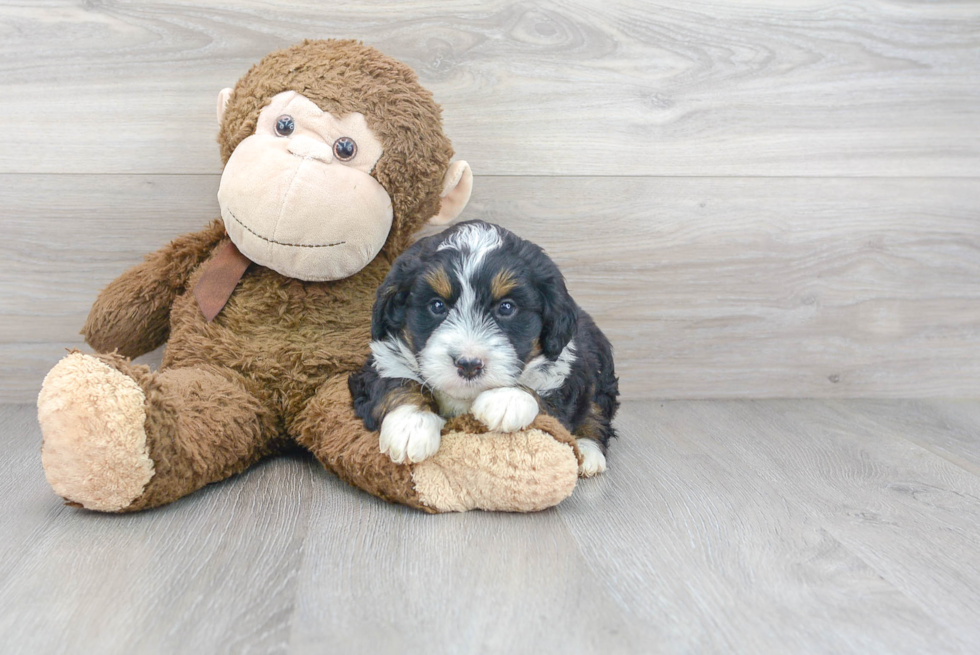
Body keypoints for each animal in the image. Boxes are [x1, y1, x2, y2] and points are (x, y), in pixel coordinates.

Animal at [348, 220, 616, 476]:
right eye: (437, 305)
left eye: (506, 308)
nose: (468, 364)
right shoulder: (378, 362)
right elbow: (396, 383)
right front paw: (412, 424)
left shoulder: (568, 371)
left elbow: (549, 399)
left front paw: (507, 399)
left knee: (596, 414)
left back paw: (588, 453)